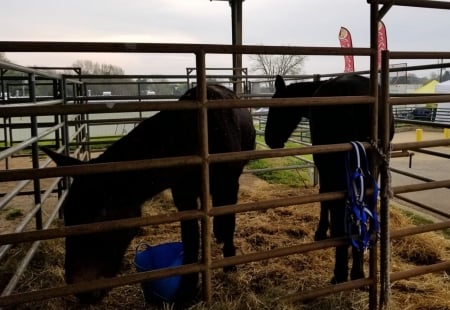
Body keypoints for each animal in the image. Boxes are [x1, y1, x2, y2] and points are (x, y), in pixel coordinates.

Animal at [43, 83, 255, 304]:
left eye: (99, 215)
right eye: (68, 214)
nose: (82, 292)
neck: (193, 139)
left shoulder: (229, 185)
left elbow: (228, 224)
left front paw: (230, 264)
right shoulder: (183, 194)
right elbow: (190, 238)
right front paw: (186, 291)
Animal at [266, 74, 392, 284]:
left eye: (276, 107)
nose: (270, 139)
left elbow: (323, 196)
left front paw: (321, 231)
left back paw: (340, 273)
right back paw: (358, 272)